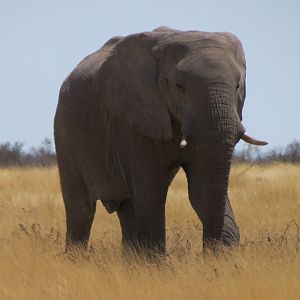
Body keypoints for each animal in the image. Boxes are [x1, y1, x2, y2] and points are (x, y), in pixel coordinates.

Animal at [54, 27, 268, 254]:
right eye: (179, 86)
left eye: (237, 86)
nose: (210, 249)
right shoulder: (130, 119)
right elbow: (151, 189)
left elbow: (200, 189)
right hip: (64, 134)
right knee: (81, 210)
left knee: (128, 208)